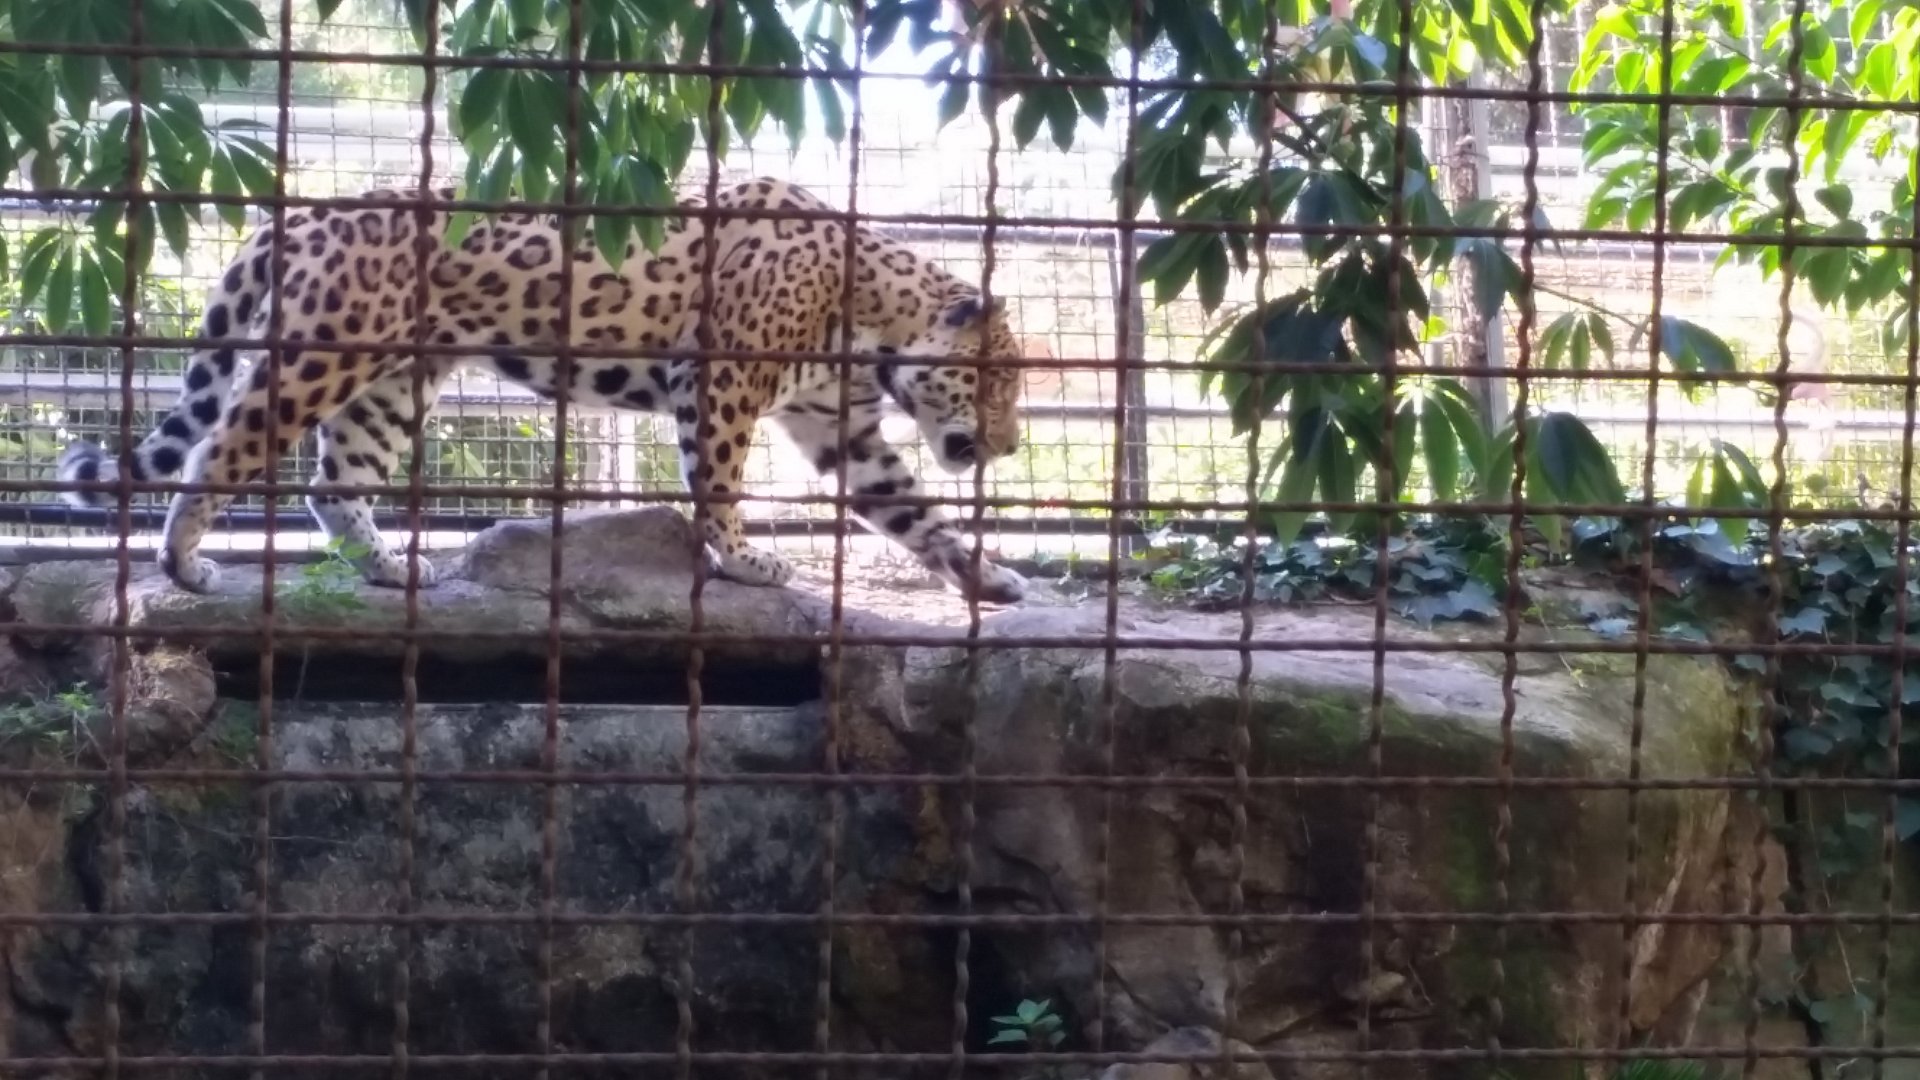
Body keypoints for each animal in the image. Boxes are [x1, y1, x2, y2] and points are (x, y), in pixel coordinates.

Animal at [57, 178, 1031, 605]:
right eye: (1000, 386)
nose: (1010, 444)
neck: (870, 319)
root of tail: (307, 212)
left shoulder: (841, 429)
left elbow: (916, 513)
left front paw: (987, 574)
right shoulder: (719, 383)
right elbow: (718, 484)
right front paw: (743, 559)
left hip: (396, 381)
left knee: (334, 479)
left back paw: (390, 566)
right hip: (319, 355)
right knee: (224, 447)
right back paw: (181, 564)